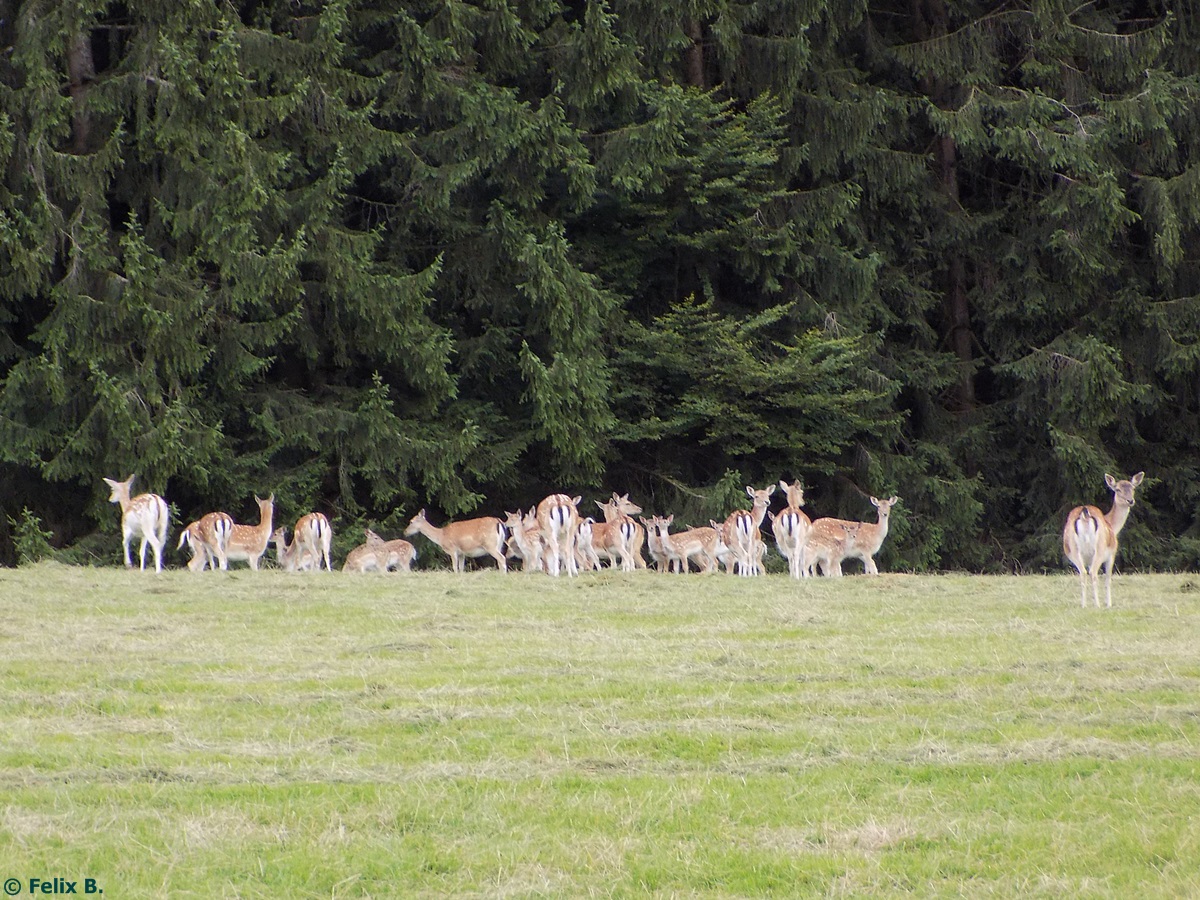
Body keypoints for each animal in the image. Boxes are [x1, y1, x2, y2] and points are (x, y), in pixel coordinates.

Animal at [1070, 468, 1142, 609]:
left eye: (1133, 488)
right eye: (1118, 489)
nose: (1130, 501)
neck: (1112, 525)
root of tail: (1084, 515)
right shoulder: (1112, 553)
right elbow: (1108, 578)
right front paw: (1108, 604)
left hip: (1071, 550)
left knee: (1083, 573)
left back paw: (1084, 605)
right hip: (1100, 548)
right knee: (1093, 573)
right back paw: (1097, 605)